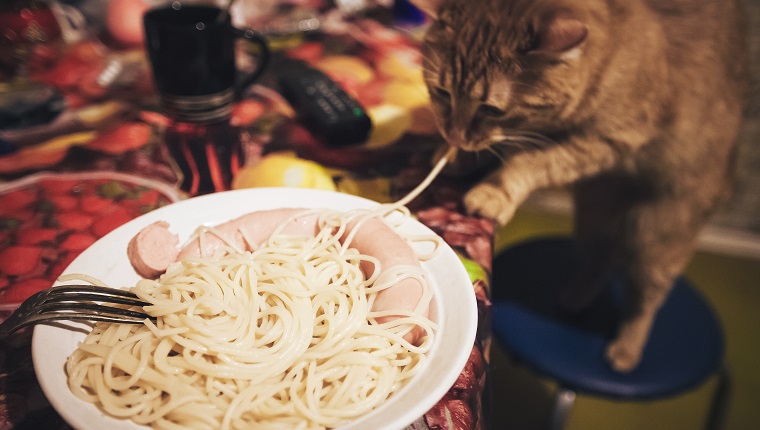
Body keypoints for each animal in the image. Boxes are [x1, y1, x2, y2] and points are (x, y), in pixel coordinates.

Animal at [412, 0, 744, 372]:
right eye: (442, 92)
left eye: (491, 109)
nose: (453, 134)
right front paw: (457, 154)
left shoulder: (611, 139)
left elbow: (529, 161)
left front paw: (492, 189)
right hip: (594, 215)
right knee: (601, 259)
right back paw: (576, 298)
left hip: (654, 236)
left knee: (645, 299)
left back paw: (625, 350)